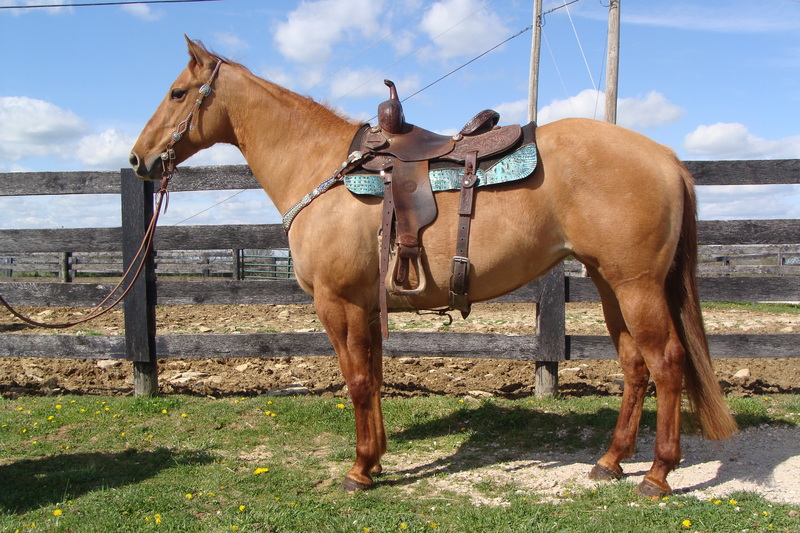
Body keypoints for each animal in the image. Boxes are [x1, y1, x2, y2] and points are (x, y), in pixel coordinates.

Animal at [130, 37, 737, 497]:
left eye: (177, 92)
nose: (138, 159)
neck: (324, 168)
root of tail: (665, 157)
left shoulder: (337, 303)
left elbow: (356, 380)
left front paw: (359, 470)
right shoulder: (366, 305)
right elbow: (373, 378)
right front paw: (375, 460)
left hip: (637, 286)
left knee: (667, 363)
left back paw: (657, 475)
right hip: (612, 285)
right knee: (635, 366)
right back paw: (611, 462)